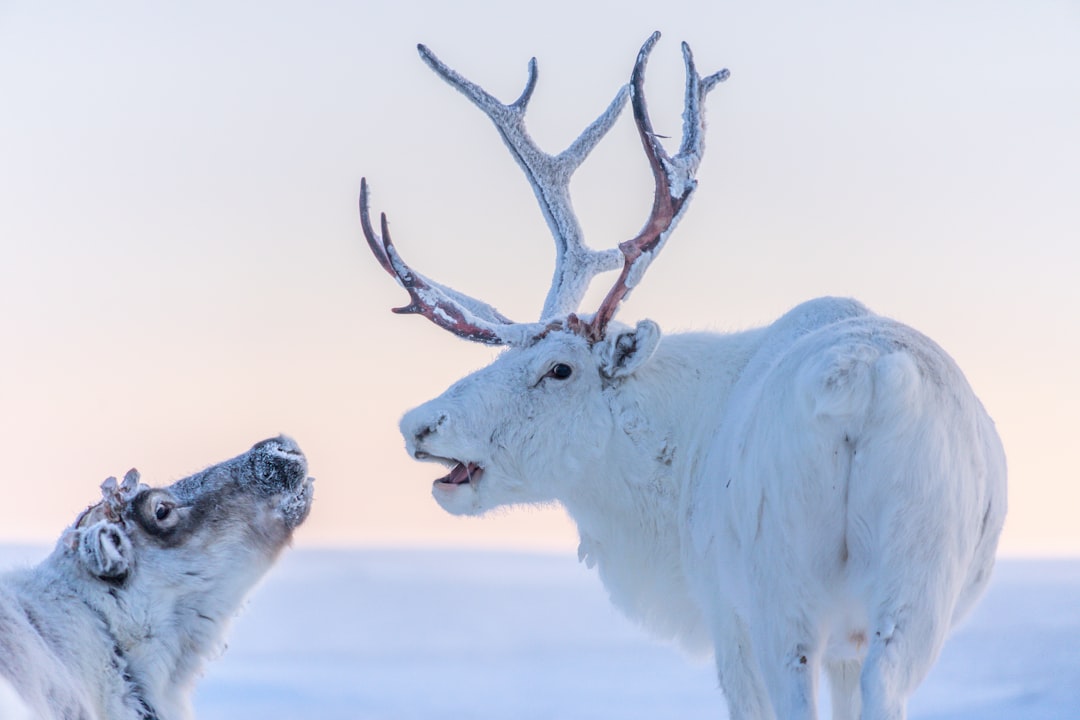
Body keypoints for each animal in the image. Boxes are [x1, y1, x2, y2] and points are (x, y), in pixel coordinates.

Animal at [359, 33, 1007, 720]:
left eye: (559, 369)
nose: (418, 423)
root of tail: (865, 382)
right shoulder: (845, 645)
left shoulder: (726, 613)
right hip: (914, 585)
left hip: (782, 592)